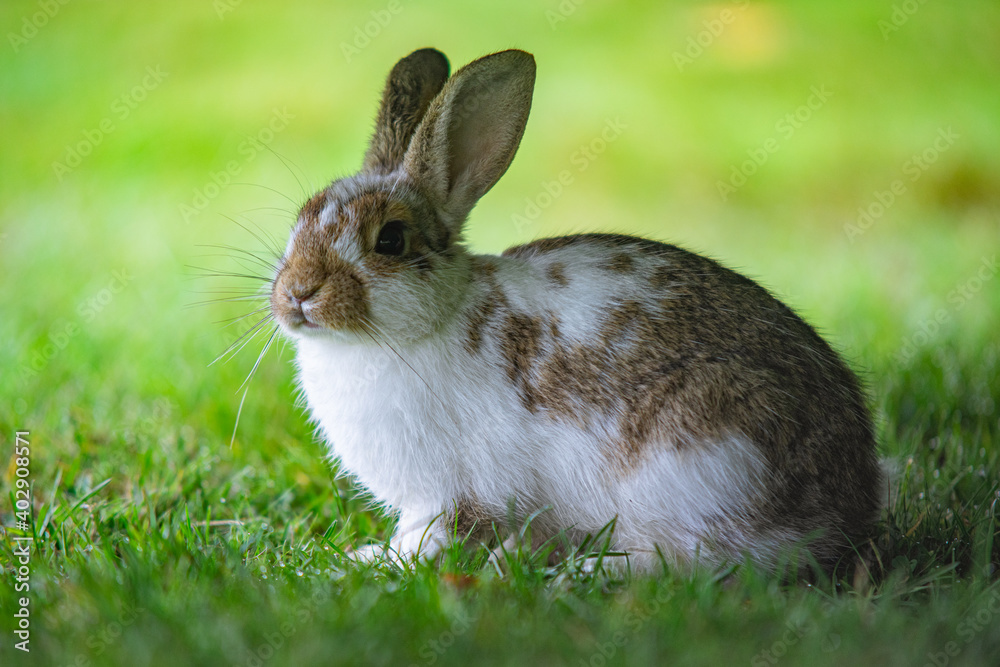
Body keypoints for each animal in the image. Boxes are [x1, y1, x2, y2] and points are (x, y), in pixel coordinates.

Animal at [267, 47, 883, 572]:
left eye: (391, 241)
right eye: (299, 220)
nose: (297, 293)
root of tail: (845, 509)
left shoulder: (453, 493)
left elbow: (435, 537)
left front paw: (375, 563)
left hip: (703, 453)